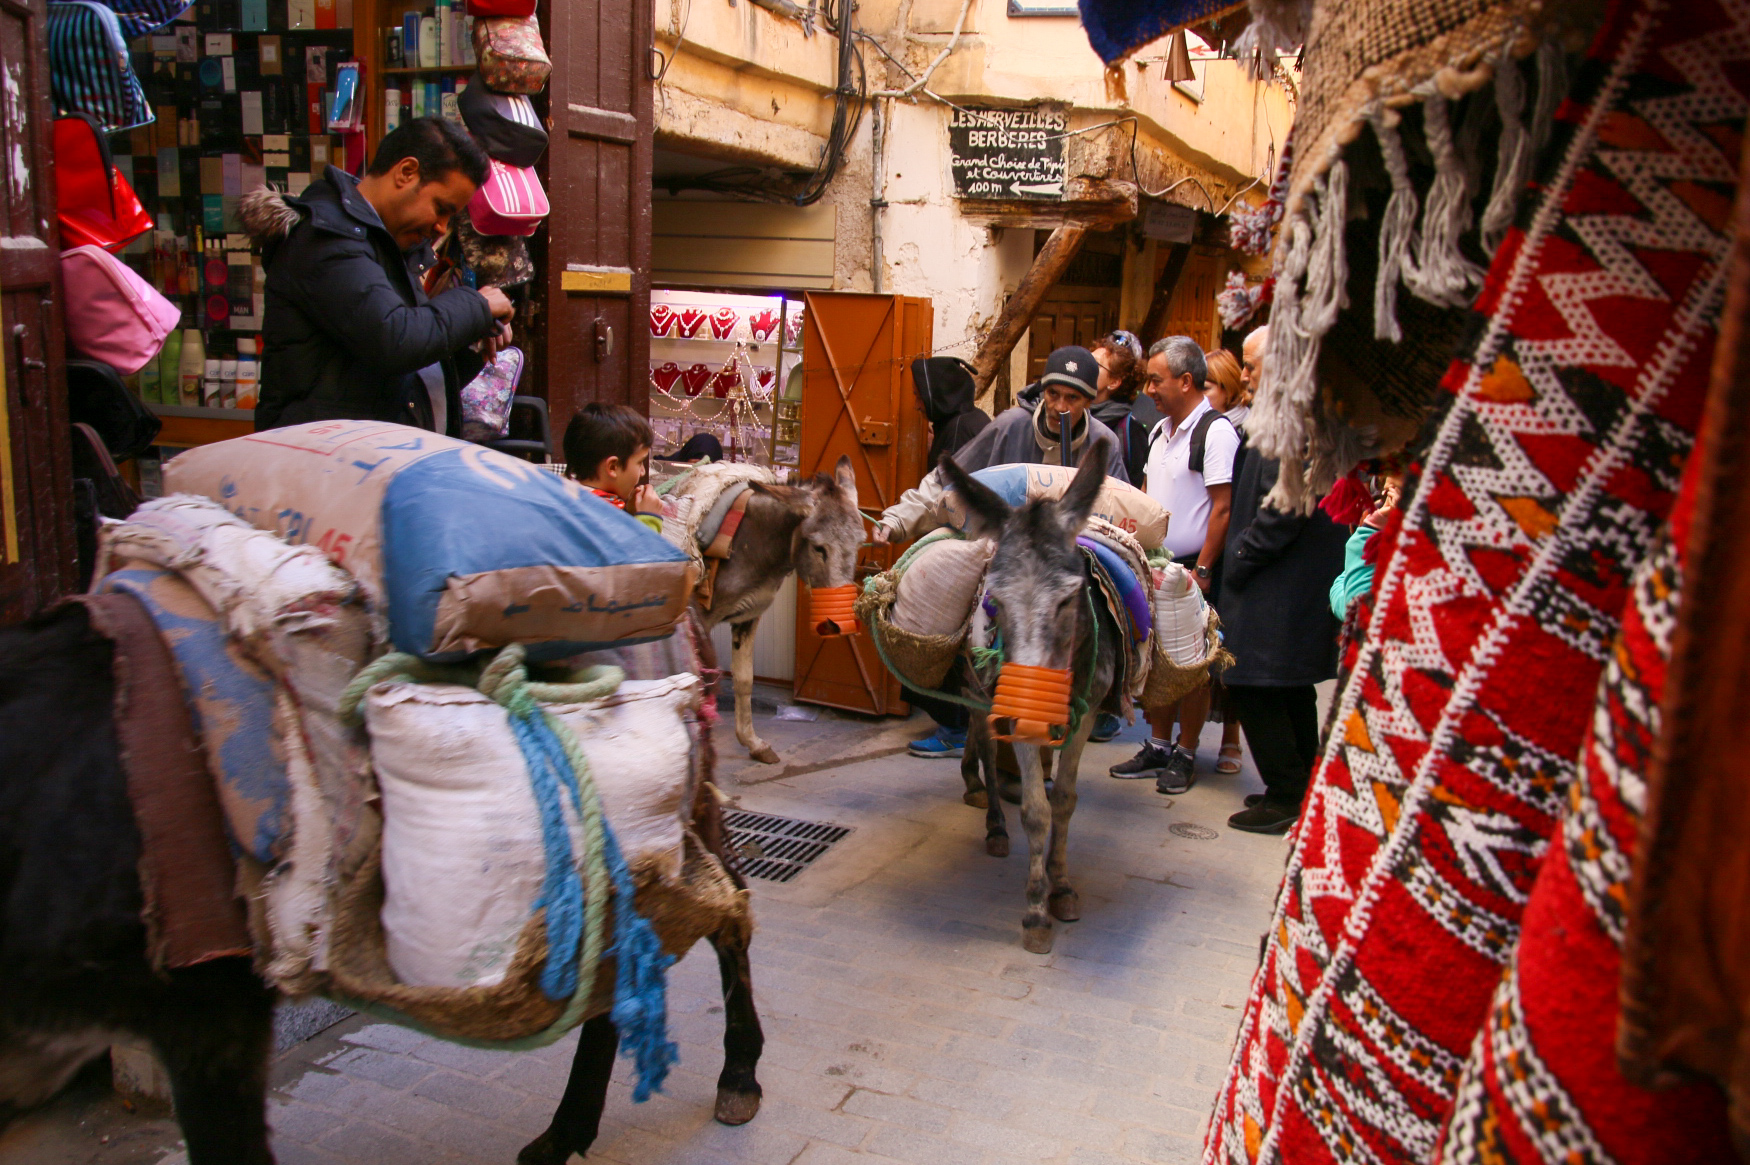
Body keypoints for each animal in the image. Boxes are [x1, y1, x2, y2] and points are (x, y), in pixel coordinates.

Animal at [938, 446, 1124, 954]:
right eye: (997, 601)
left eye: (1069, 599)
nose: (1031, 716)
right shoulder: (1012, 712)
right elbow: (1037, 810)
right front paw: (1037, 912)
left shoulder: (1087, 713)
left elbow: (1064, 799)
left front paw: (1061, 887)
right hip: (977, 691)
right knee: (985, 744)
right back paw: (993, 819)